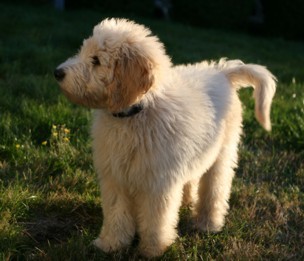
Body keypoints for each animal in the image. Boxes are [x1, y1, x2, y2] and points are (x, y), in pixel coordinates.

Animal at [53, 18, 276, 256]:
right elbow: (116, 212)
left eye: (96, 60)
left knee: (215, 189)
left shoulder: (158, 181)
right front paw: (111, 244)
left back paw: (208, 223)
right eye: (83, 51)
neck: (135, 113)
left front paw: (152, 249)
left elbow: (155, 218)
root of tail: (222, 71)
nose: (57, 72)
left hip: (222, 153)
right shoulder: (115, 176)